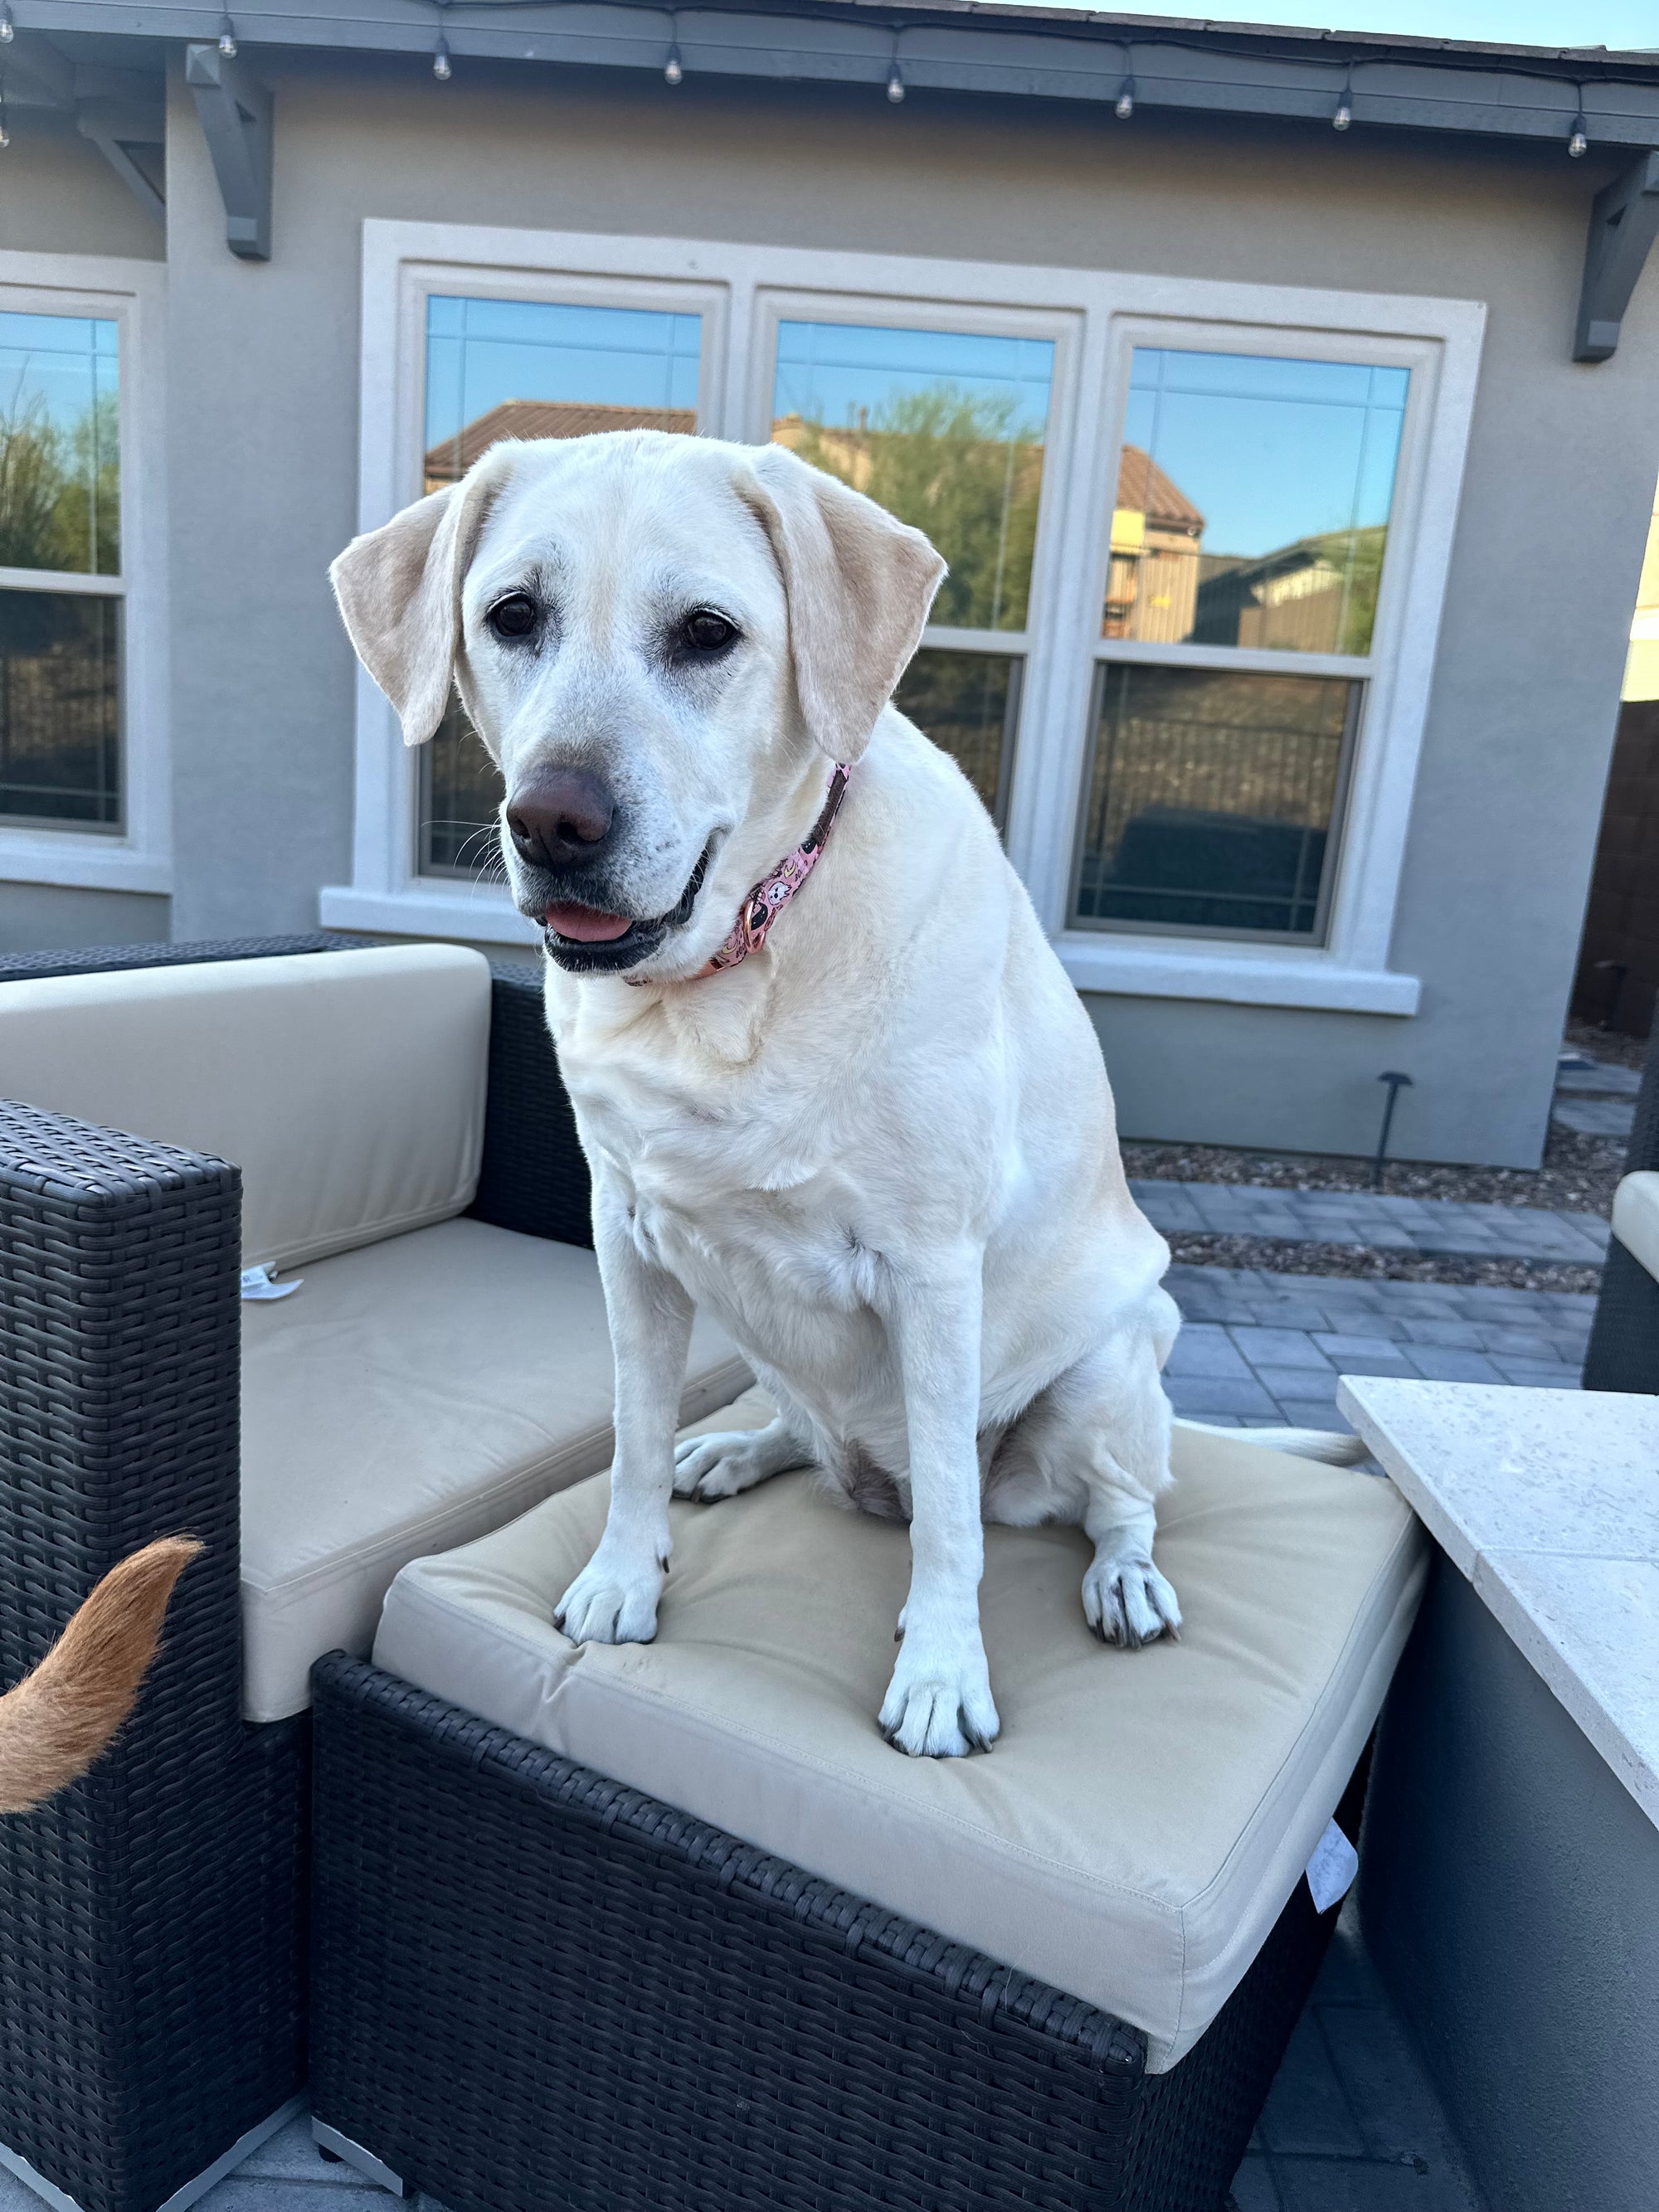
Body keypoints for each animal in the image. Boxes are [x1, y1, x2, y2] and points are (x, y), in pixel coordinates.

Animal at [332, 431, 1360, 1759]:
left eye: (708, 633)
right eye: (513, 616)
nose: (553, 821)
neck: (730, 978)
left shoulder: (933, 1269)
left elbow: (956, 1525)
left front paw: (940, 1671)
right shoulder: (628, 1238)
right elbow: (629, 1436)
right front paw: (622, 1574)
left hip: (1113, 1365)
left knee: (1110, 1498)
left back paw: (1123, 1577)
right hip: (770, 1349)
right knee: (814, 1439)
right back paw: (736, 1451)